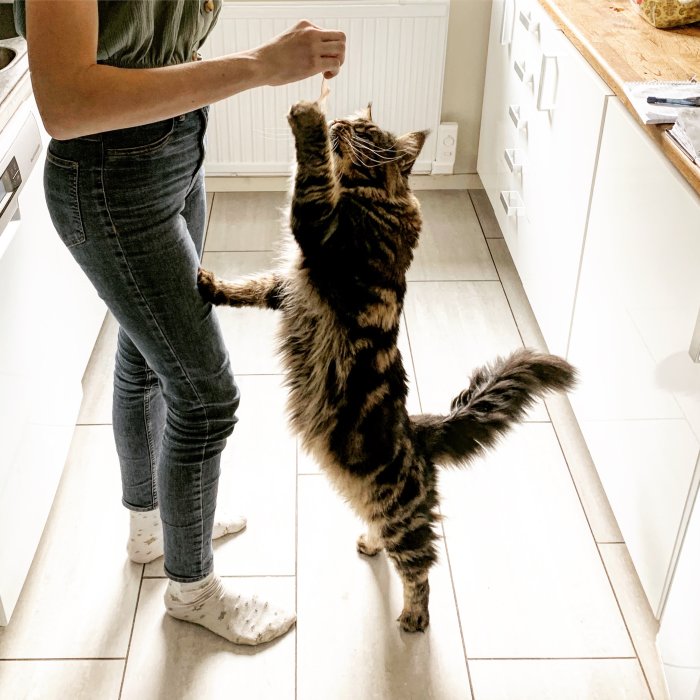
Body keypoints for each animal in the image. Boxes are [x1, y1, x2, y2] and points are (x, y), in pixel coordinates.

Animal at [196, 94, 576, 636]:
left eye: (364, 129)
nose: (339, 120)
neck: (369, 197)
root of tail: (422, 431)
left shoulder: (320, 231)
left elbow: (311, 174)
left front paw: (308, 118)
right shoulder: (292, 280)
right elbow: (253, 286)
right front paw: (212, 286)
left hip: (403, 514)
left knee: (420, 568)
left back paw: (414, 616)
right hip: (380, 505)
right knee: (389, 538)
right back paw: (370, 545)